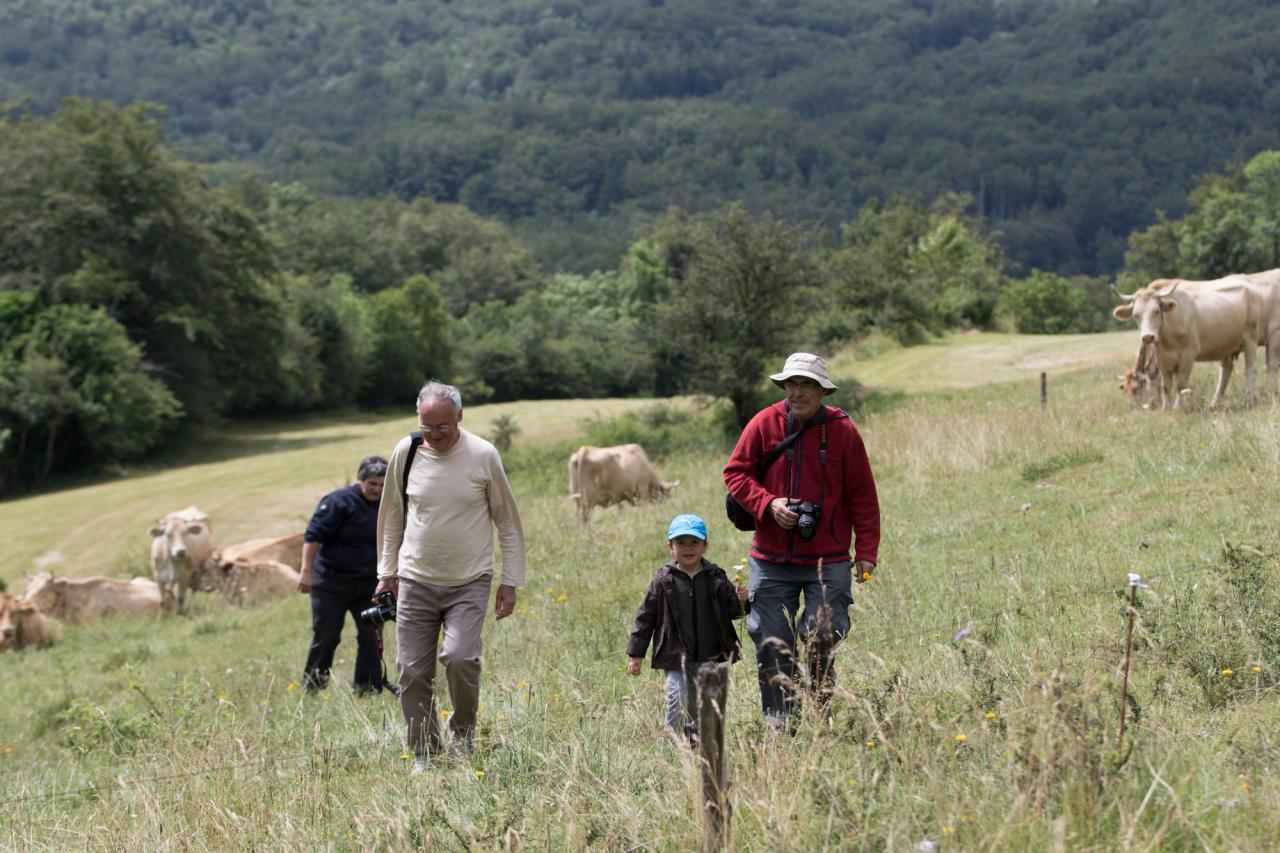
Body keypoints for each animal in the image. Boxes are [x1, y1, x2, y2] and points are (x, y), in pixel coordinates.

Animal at [1111, 277, 1259, 409]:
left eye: (1157, 311)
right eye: (1136, 315)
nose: (1148, 337)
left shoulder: (1188, 354)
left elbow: (1180, 384)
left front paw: (1178, 407)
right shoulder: (1162, 359)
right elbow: (1166, 385)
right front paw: (1166, 408)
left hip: (1250, 338)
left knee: (1250, 369)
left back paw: (1247, 401)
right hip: (1227, 348)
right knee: (1225, 372)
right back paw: (1214, 404)